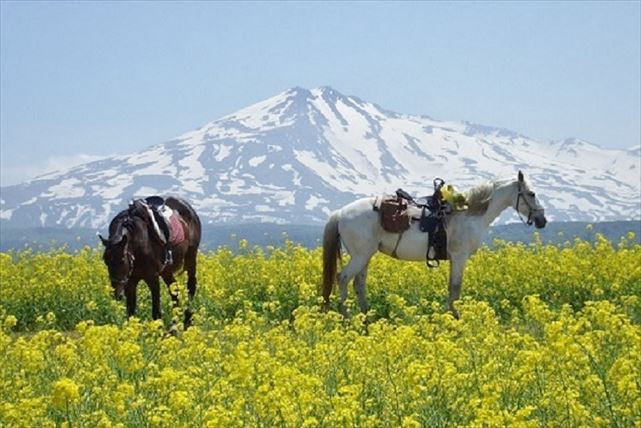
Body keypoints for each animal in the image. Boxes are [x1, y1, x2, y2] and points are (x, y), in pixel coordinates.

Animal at [99, 196, 201, 326]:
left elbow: (156, 312)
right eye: (106, 261)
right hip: (166, 271)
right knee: (174, 289)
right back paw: (175, 321)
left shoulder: (152, 278)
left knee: (191, 285)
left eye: (122, 260)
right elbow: (131, 311)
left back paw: (187, 319)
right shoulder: (130, 281)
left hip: (191, 256)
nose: (116, 294)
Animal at [322, 171, 547, 318]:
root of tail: (340, 213)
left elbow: (452, 288)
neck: (468, 213)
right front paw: (455, 317)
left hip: (366, 255)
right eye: (532, 193)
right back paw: (346, 317)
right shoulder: (459, 257)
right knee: (342, 278)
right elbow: (455, 287)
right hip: (360, 256)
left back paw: (366, 317)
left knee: (358, 283)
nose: (542, 220)